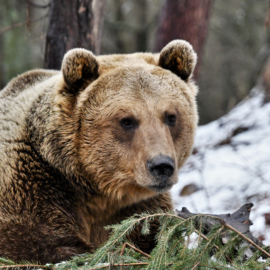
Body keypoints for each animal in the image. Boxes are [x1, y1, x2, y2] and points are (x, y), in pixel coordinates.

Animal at [0, 40, 197, 264]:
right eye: (127, 121)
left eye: (171, 116)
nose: (162, 166)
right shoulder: (30, 188)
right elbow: (38, 241)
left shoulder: (137, 208)